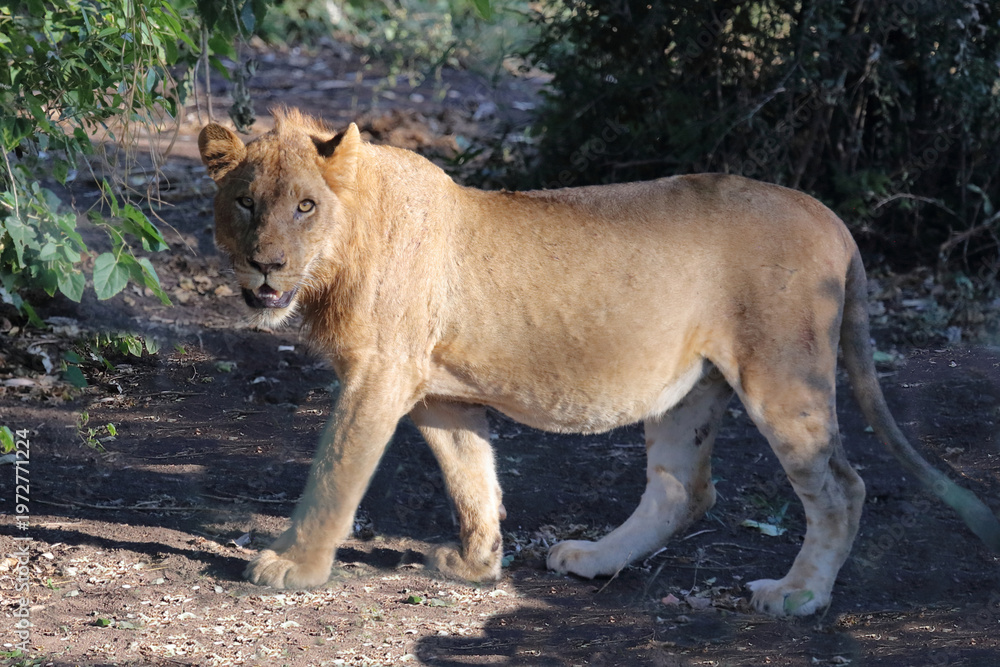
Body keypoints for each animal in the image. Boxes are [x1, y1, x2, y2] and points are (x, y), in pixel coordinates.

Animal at [198, 108, 1000, 616]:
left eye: (304, 206)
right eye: (245, 203)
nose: (266, 266)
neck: (341, 249)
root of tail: (831, 217)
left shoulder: (378, 376)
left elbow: (334, 474)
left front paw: (292, 567)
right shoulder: (438, 394)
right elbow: (471, 476)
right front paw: (479, 564)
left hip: (782, 378)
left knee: (842, 486)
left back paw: (797, 596)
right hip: (691, 389)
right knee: (682, 490)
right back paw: (593, 559)